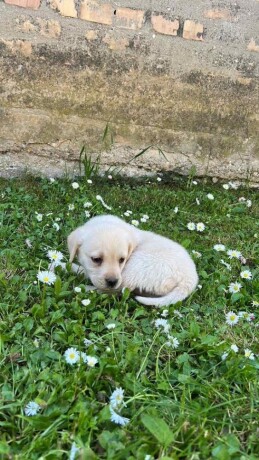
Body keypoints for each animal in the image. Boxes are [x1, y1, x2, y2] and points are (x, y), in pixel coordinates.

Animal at [67, 214, 199, 308]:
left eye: (122, 260)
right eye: (96, 259)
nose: (112, 281)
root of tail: (189, 281)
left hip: (137, 266)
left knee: (116, 290)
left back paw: (80, 287)